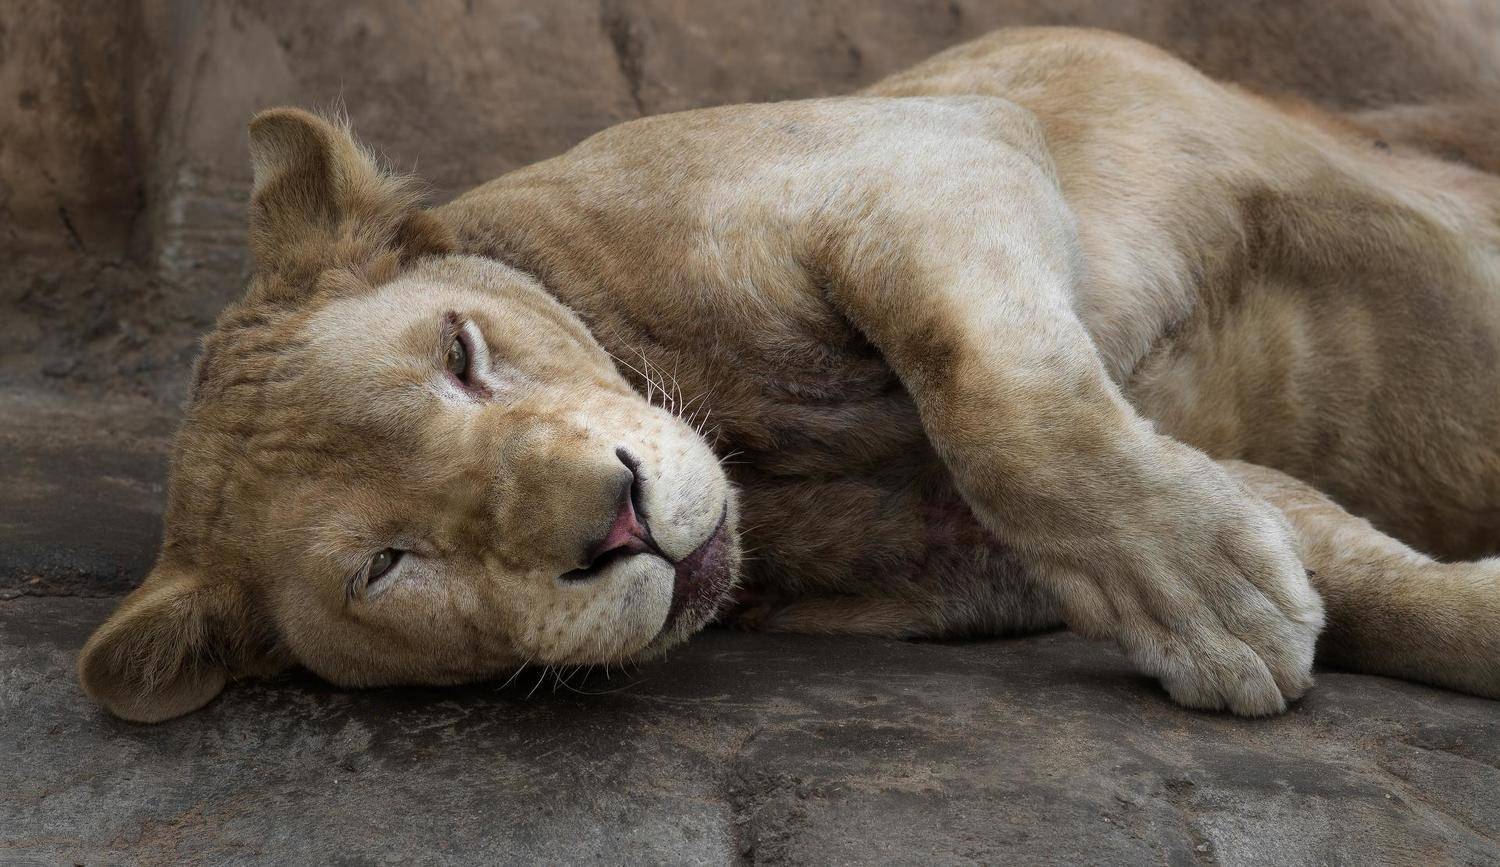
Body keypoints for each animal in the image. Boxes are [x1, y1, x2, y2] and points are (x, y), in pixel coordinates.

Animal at [78, 27, 1500, 722]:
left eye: (462, 354)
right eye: (386, 567)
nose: (617, 524)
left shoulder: (924, 149)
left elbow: (1006, 405)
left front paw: (1211, 601)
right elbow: (1368, 581)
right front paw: (1248, 607)